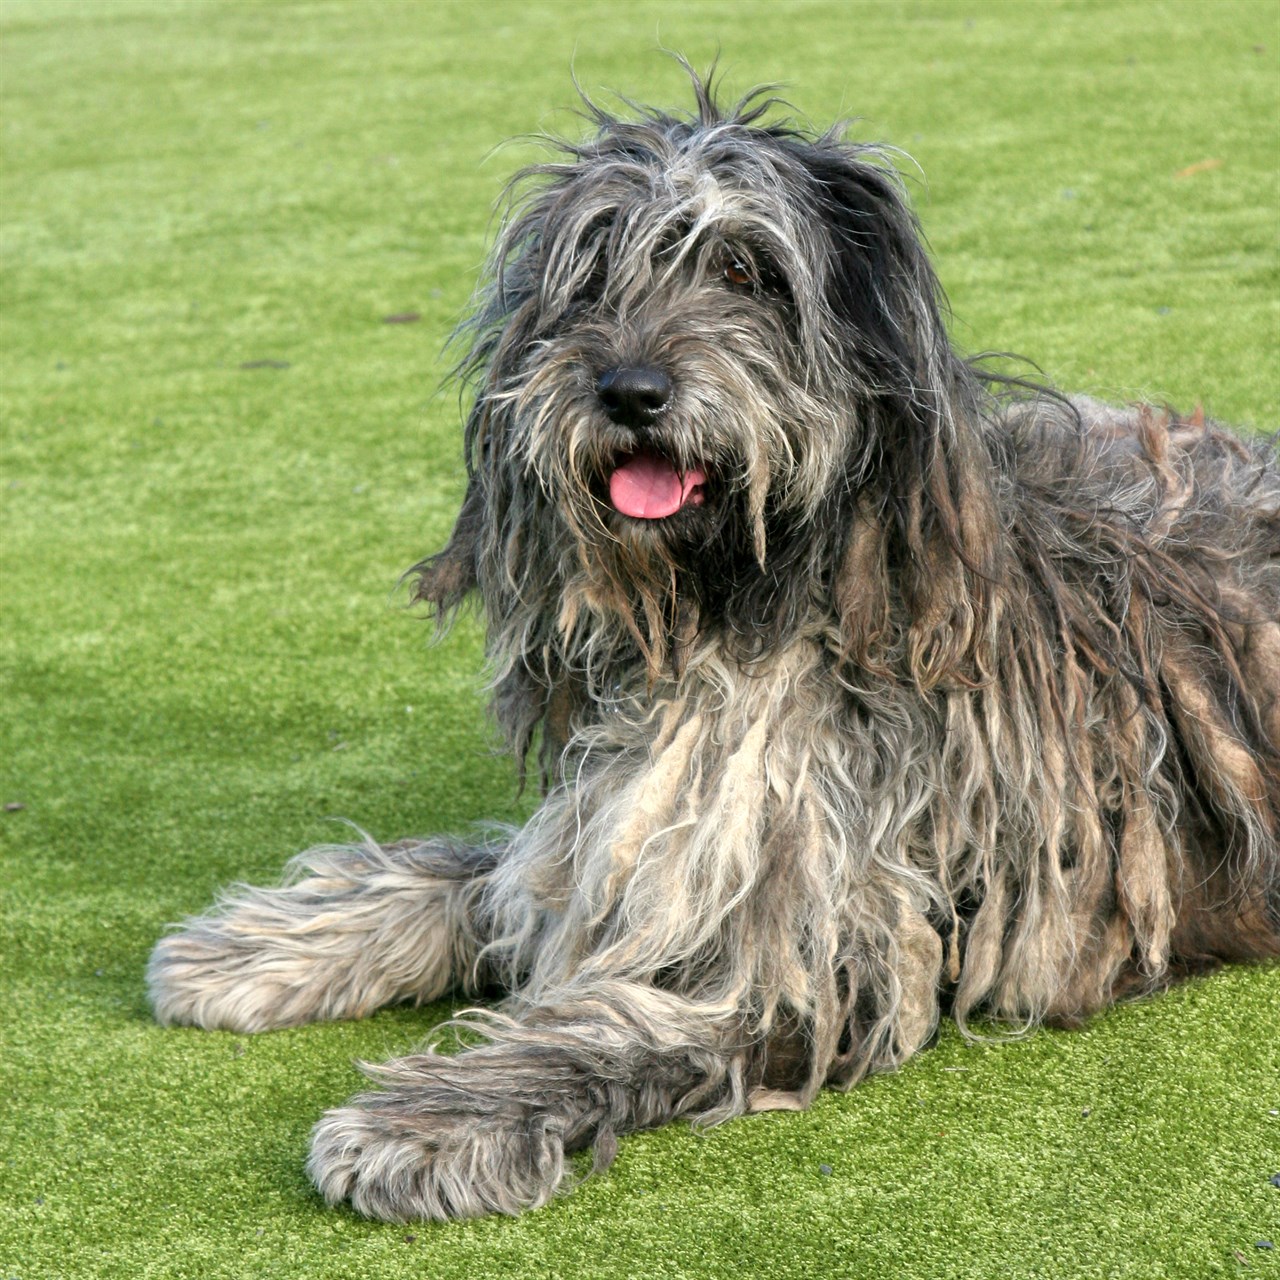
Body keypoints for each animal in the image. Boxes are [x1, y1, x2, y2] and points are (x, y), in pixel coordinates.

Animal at [149, 77, 1280, 1218]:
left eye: (747, 270)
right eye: (592, 271)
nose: (629, 391)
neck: (738, 609)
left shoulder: (822, 948)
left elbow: (614, 1027)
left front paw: (433, 1119)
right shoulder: (625, 829)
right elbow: (483, 876)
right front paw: (265, 944)